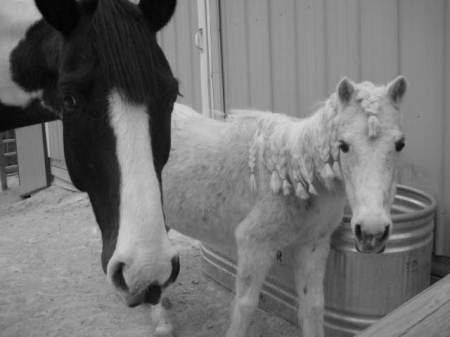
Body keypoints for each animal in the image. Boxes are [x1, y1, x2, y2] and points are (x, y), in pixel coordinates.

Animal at [163, 77, 408, 336]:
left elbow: (313, 306)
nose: (372, 232)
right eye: (343, 145)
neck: (296, 177)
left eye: (400, 144)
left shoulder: (312, 246)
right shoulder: (254, 244)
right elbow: (245, 306)